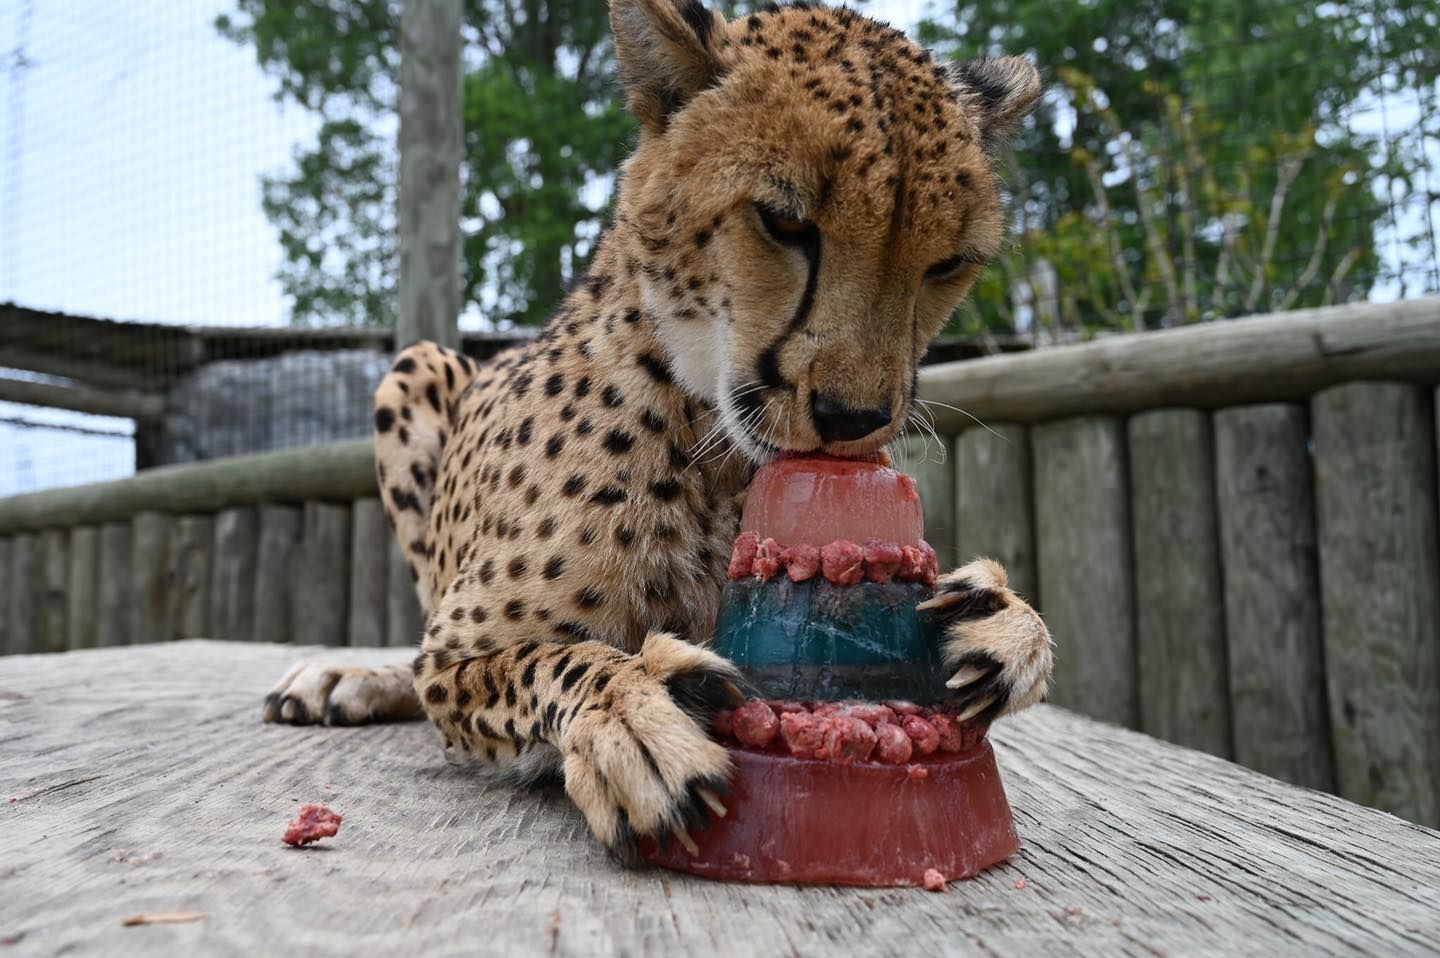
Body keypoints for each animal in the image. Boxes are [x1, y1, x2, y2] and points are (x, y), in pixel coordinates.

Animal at [264, 0, 1053, 860]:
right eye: (783, 222)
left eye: (948, 264)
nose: (853, 419)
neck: (707, 438)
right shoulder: (456, 657)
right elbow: (544, 658)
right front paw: (631, 711)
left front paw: (1002, 622)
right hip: (416, 365)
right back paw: (342, 679)